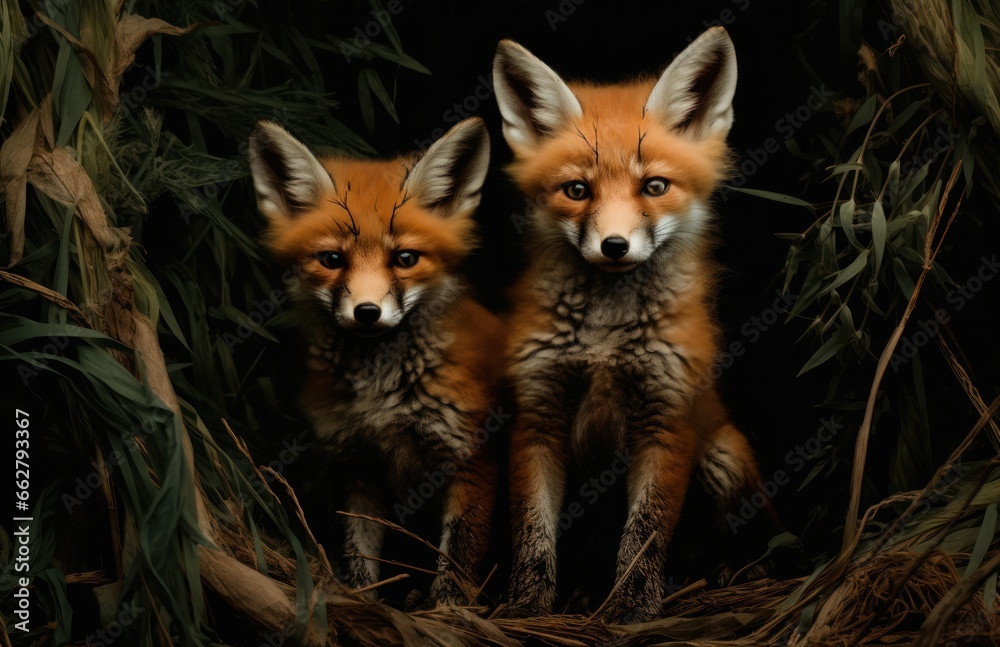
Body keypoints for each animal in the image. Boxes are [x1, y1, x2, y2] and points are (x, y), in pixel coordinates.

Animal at [247, 117, 505, 606]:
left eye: (405, 258)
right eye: (331, 259)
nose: (367, 312)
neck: (383, 398)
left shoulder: (470, 460)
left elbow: (456, 563)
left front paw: (447, 613)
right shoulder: (358, 464)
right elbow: (359, 552)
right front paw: (362, 601)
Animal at [493, 27, 765, 621]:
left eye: (655, 187)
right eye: (577, 191)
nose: (613, 246)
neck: (605, 340)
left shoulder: (667, 420)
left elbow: (644, 534)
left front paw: (631, 610)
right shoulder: (537, 417)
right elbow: (533, 535)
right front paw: (528, 609)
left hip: (723, 459)